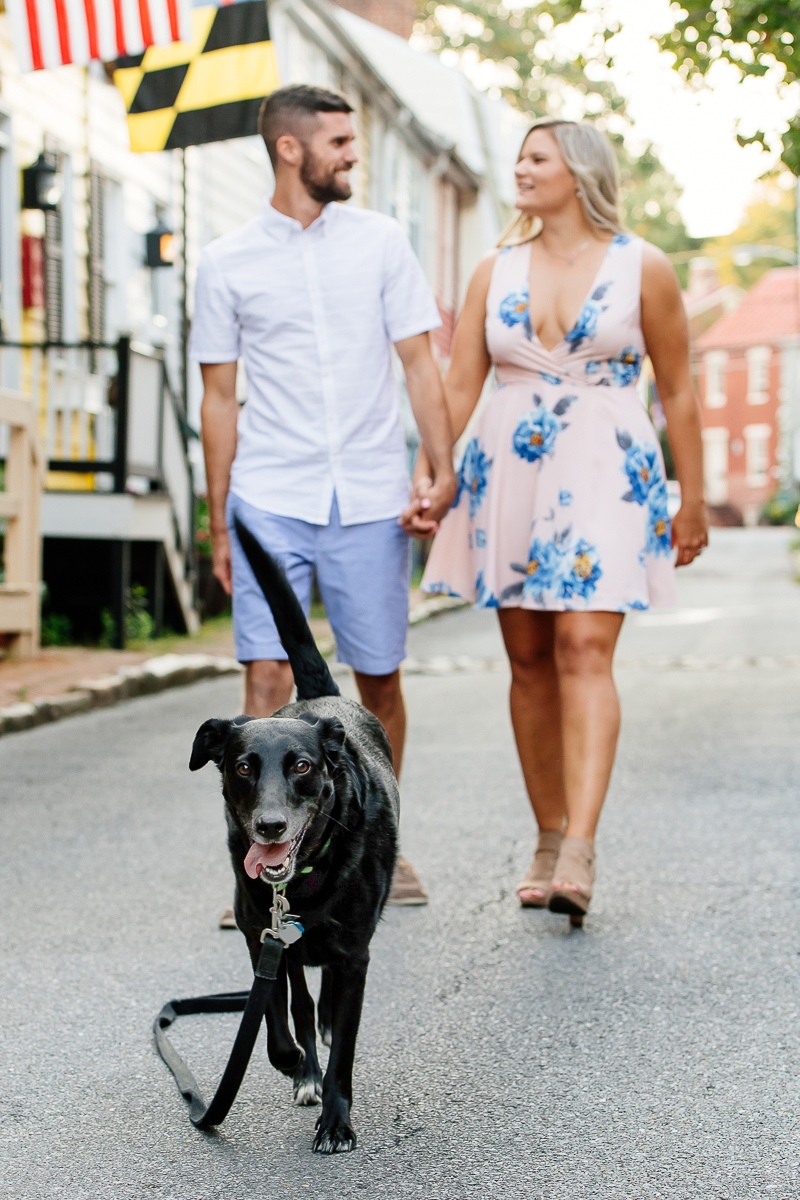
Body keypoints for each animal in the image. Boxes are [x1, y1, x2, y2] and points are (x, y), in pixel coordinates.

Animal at [188, 520, 400, 1156]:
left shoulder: (354, 954)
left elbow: (344, 1047)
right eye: (242, 767)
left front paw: (336, 1121)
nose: (270, 826)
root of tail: (318, 698)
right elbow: (277, 1014)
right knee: (300, 1000)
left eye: (303, 767)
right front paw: (295, 1064)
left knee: (323, 1000)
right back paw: (304, 1062)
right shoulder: (261, 933)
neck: (300, 882)